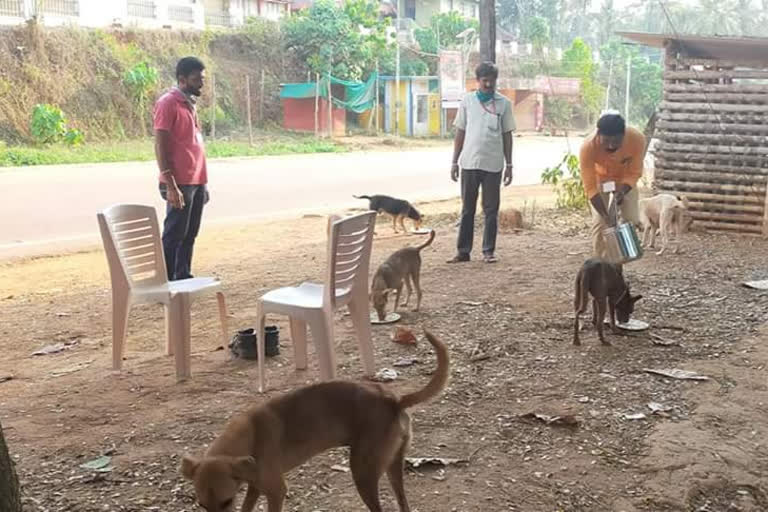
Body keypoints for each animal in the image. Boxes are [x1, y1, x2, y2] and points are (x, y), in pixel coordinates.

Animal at [182, 330, 450, 510]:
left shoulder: (276, 491)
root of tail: (394, 399)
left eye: (227, 502)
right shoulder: (254, 487)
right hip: (393, 466)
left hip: (363, 473)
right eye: (202, 506)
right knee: (403, 504)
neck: (249, 435)